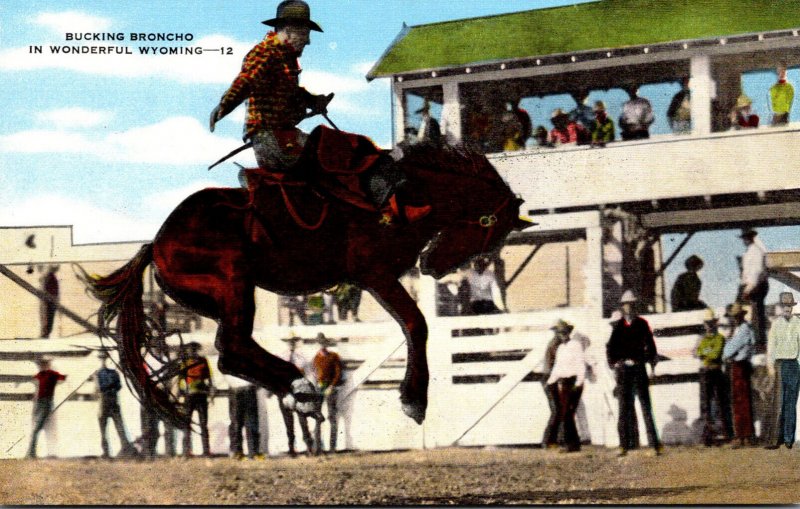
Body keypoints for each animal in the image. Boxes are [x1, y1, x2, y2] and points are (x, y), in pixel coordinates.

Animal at [84, 134, 528, 424]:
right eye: (487, 225)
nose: (434, 266)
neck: (406, 193)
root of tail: (157, 244)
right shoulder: (374, 273)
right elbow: (415, 323)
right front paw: (414, 399)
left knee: (235, 351)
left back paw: (300, 391)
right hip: (234, 283)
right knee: (230, 348)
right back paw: (303, 389)